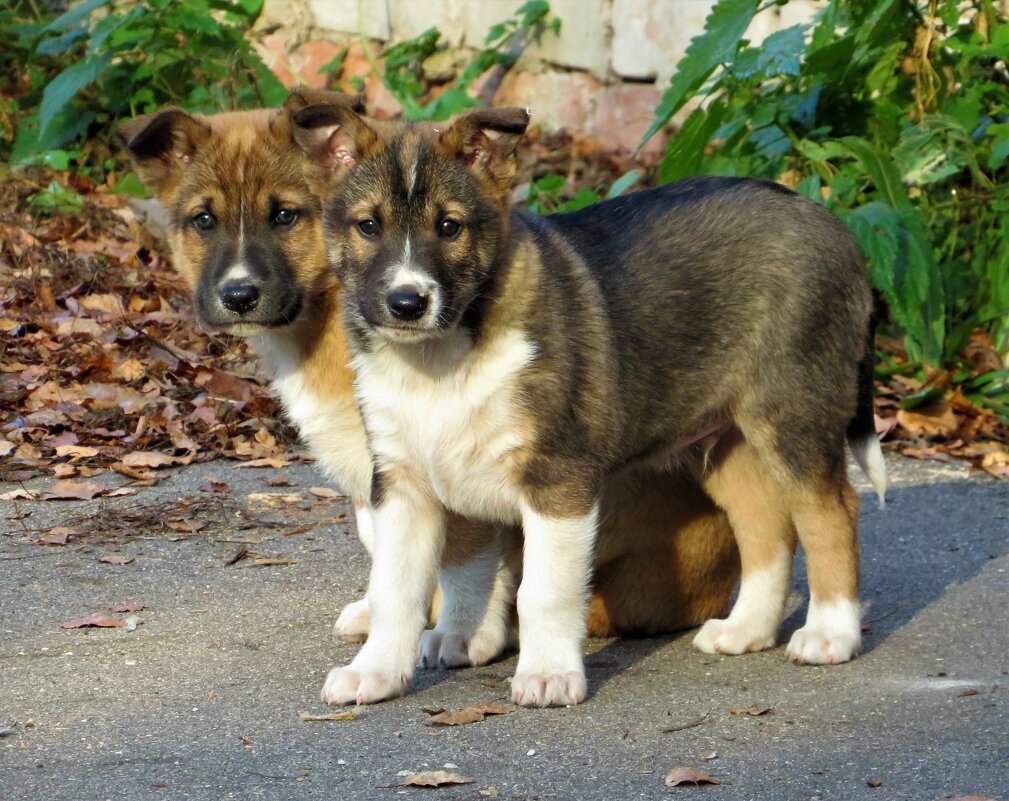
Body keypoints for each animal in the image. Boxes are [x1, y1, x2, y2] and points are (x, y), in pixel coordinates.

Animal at [122, 93, 746, 690]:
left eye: (285, 215)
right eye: (204, 221)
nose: (238, 295)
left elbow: (460, 556)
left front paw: (462, 633)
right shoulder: (392, 464)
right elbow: (393, 552)